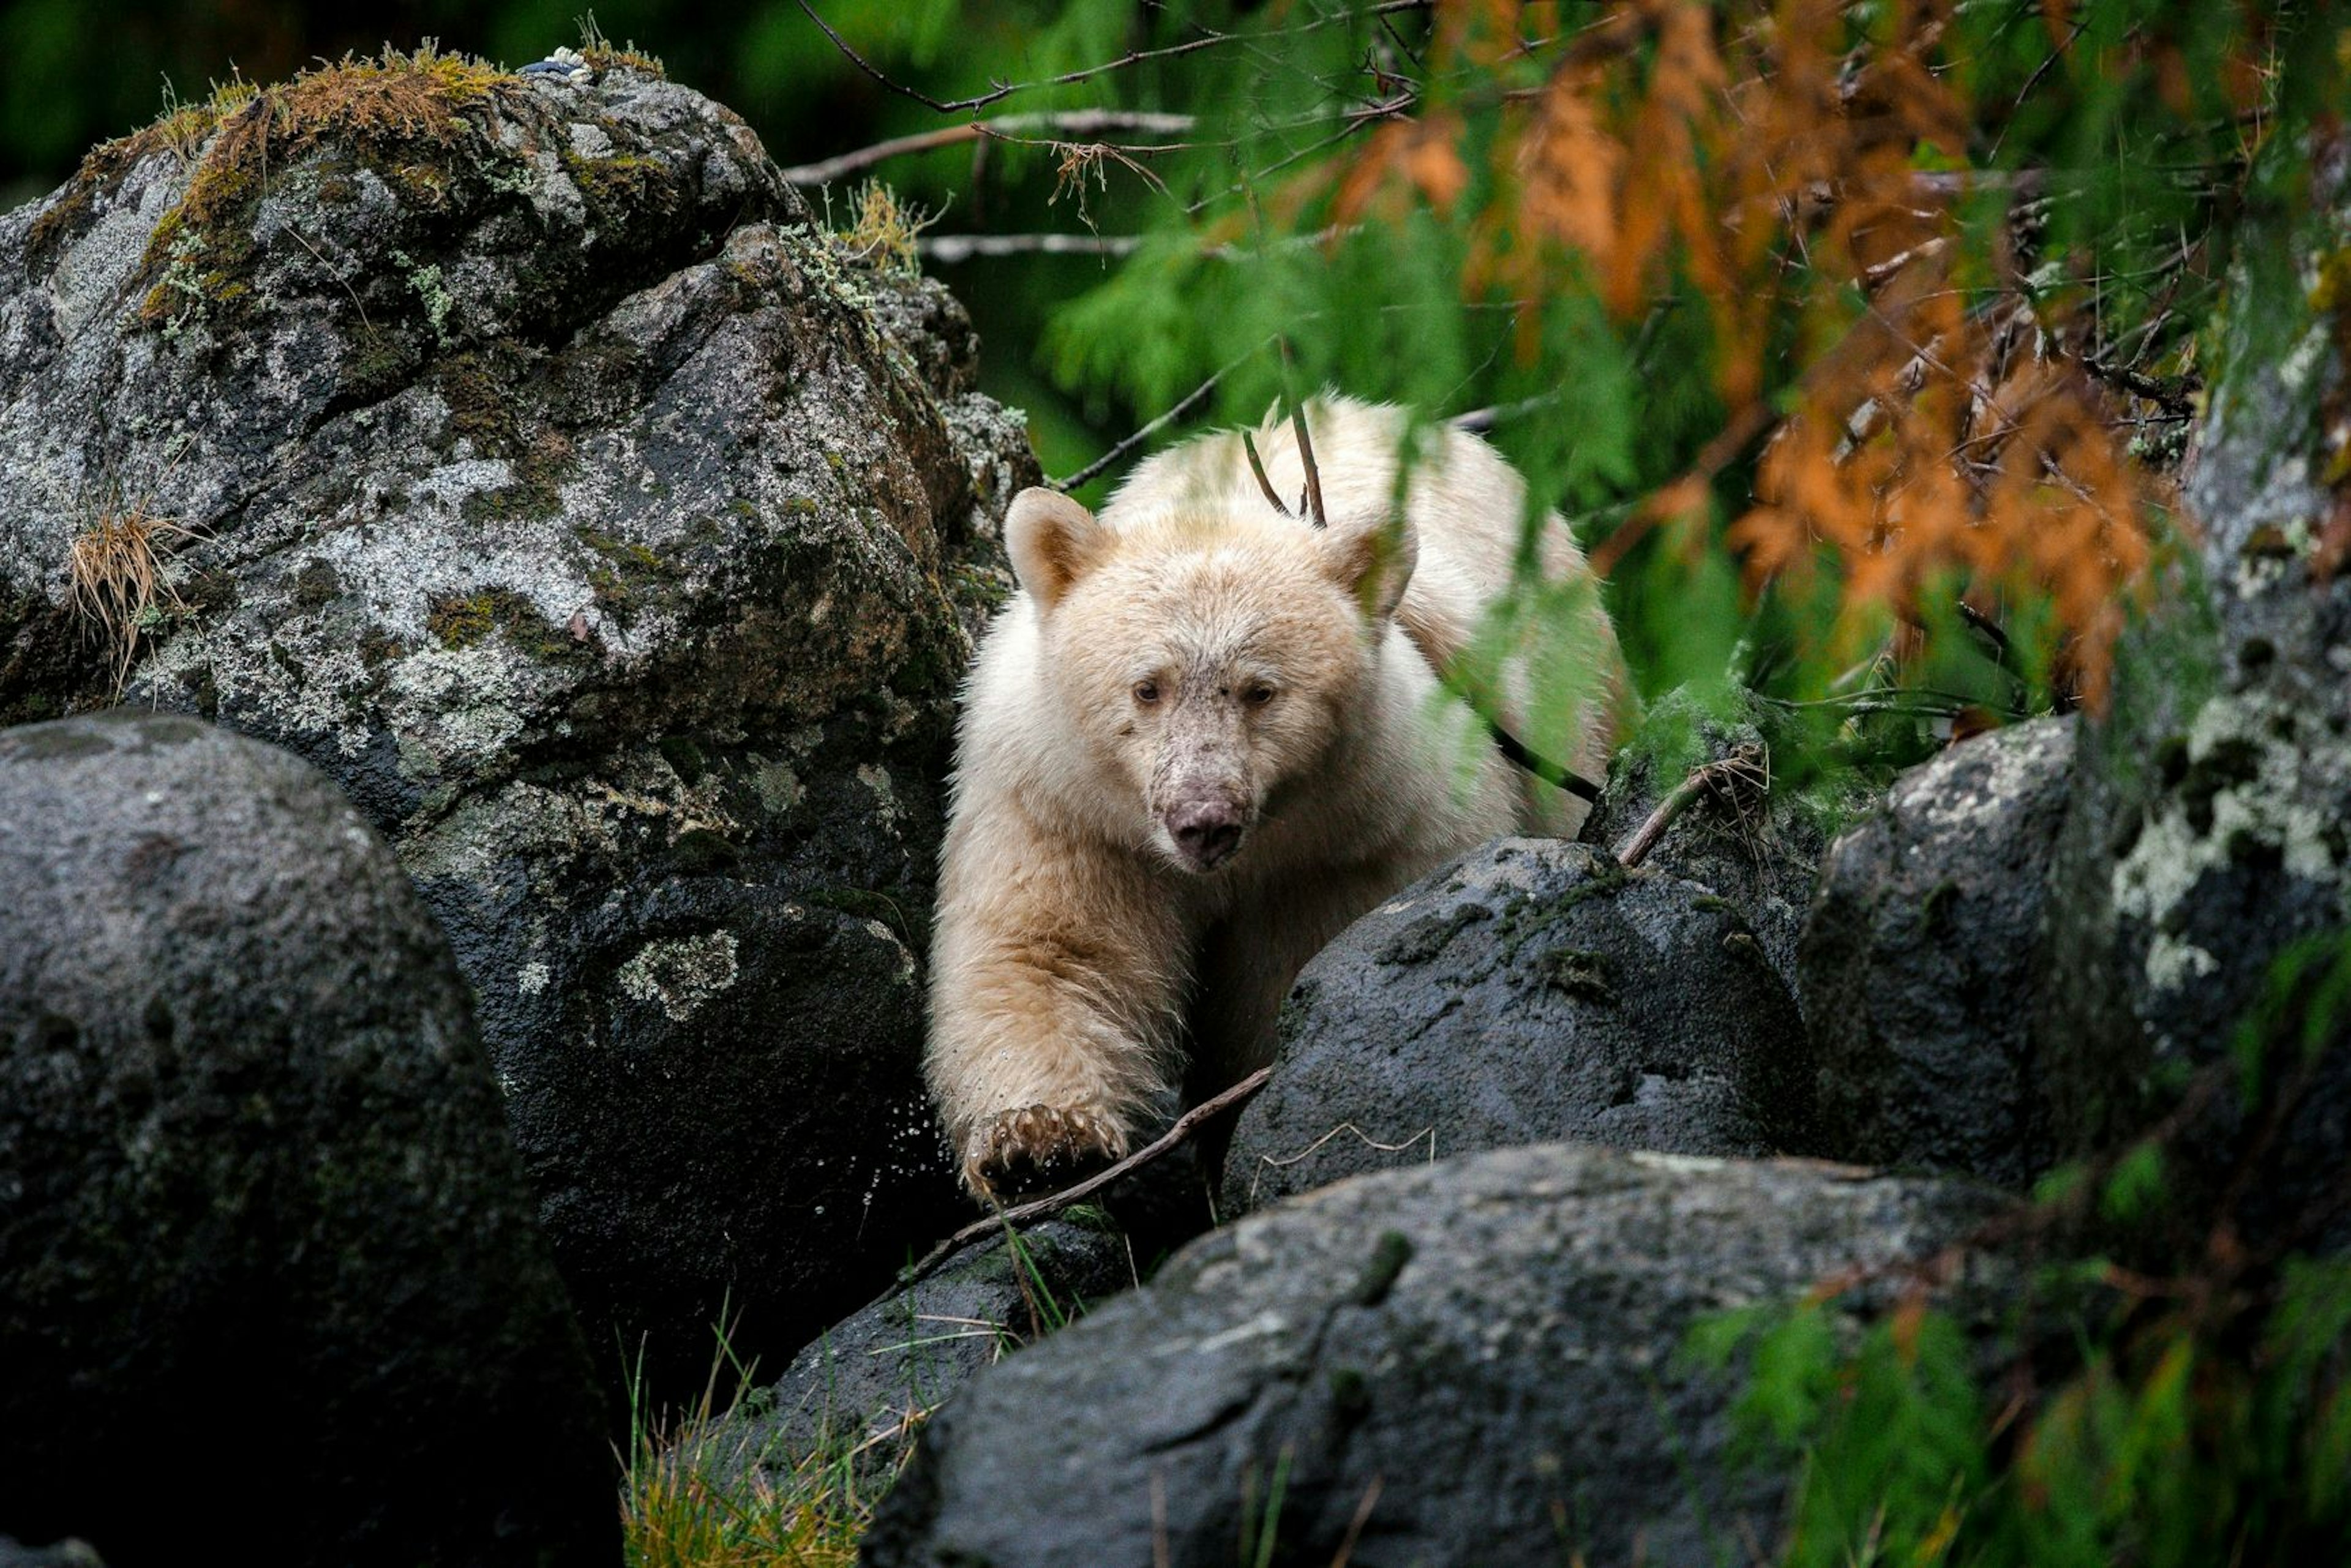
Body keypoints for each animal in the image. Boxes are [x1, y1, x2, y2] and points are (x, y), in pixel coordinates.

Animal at [926, 399, 1627, 1194]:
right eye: (1147, 686)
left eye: (1261, 690)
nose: (1203, 821)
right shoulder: (1067, 808)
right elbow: (1052, 949)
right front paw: (1040, 1144)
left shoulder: (1355, 841)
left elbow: (1286, 985)